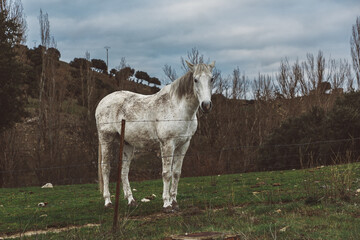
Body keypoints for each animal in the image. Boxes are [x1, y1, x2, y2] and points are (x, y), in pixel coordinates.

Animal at [94, 60, 215, 212]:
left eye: (211, 79)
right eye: (195, 79)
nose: (206, 105)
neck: (179, 109)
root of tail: (102, 102)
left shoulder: (183, 145)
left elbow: (176, 173)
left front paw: (174, 202)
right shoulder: (167, 144)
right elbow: (166, 173)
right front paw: (167, 204)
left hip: (128, 144)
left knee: (124, 171)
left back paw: (131, 200)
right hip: (106, 140)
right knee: (105, 168)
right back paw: (108, 202)